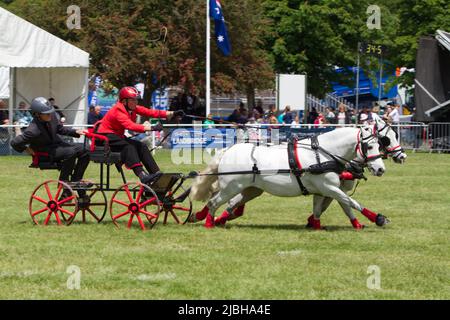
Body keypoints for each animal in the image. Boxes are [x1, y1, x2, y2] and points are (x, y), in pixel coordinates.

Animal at [190, 122, 398, 230]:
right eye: (369, 146)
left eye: (380, 144)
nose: (381, 169)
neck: (324, 155)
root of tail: (228, 150)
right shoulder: (329, 188)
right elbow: (352, 202)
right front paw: (378, 218)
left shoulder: (324, 191)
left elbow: (328, 208)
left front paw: (318, 225)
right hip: (232, 186)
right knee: (214, 201)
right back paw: (208, 223)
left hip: (251, 189)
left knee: (227, 203)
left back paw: (203, 217)